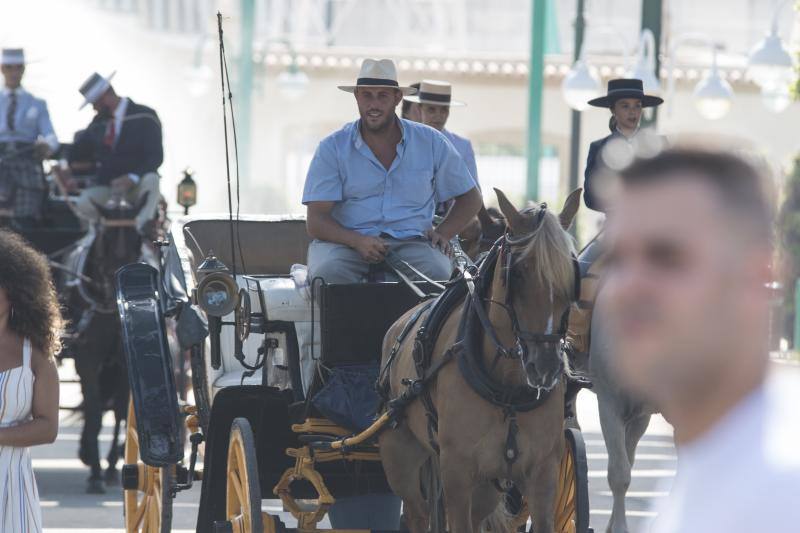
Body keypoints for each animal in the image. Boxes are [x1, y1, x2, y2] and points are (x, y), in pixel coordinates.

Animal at [378, 187, 580, 532]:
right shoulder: (457, 473)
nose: (546, 366)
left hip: (486, 484)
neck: (507, 389)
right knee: (417, 513)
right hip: (401, 458)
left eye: (571, 273)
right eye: (519, 273)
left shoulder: (543, 474)